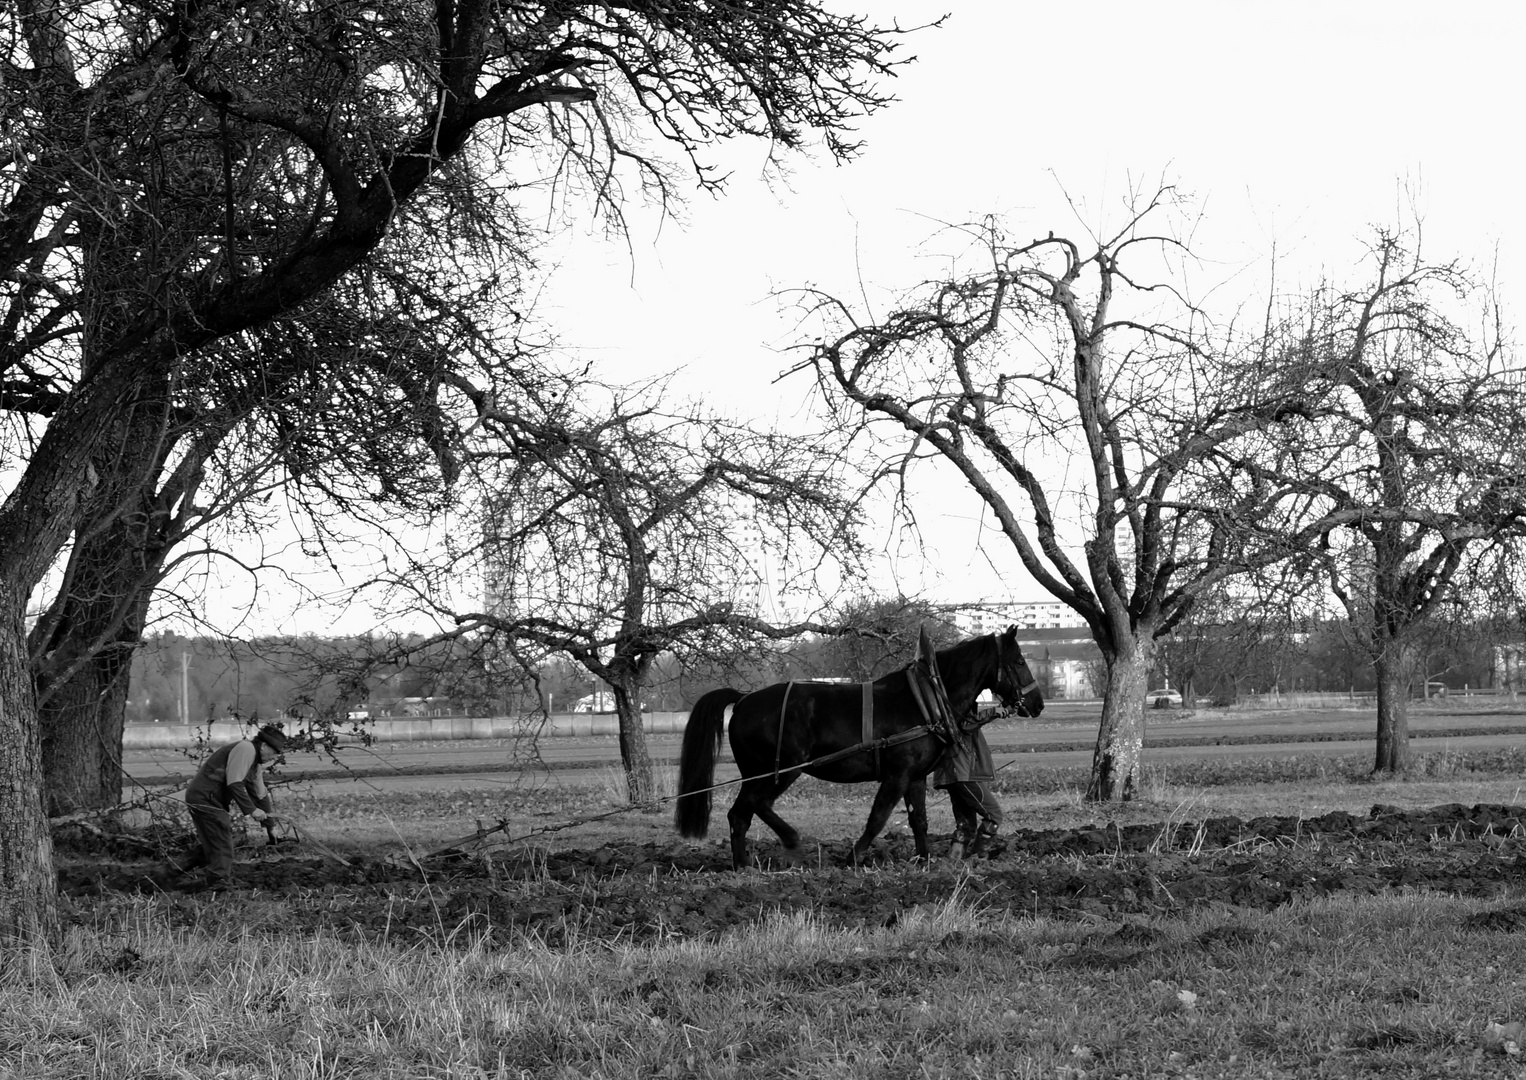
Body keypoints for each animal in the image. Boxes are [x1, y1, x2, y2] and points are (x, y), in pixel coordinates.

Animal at [674, 631, 1043, 866]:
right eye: (1020, 662)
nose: (1037, 704)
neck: (924, 702)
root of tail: (743, 699)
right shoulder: (896, 776)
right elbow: (878, 818)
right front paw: (854, 857)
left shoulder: (915, 777)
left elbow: (918, 819)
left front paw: (923, 859)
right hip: (779, 771)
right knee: (752, 807)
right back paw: (784, 845)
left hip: (761, 774)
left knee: (743, 813)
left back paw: (745, 863)